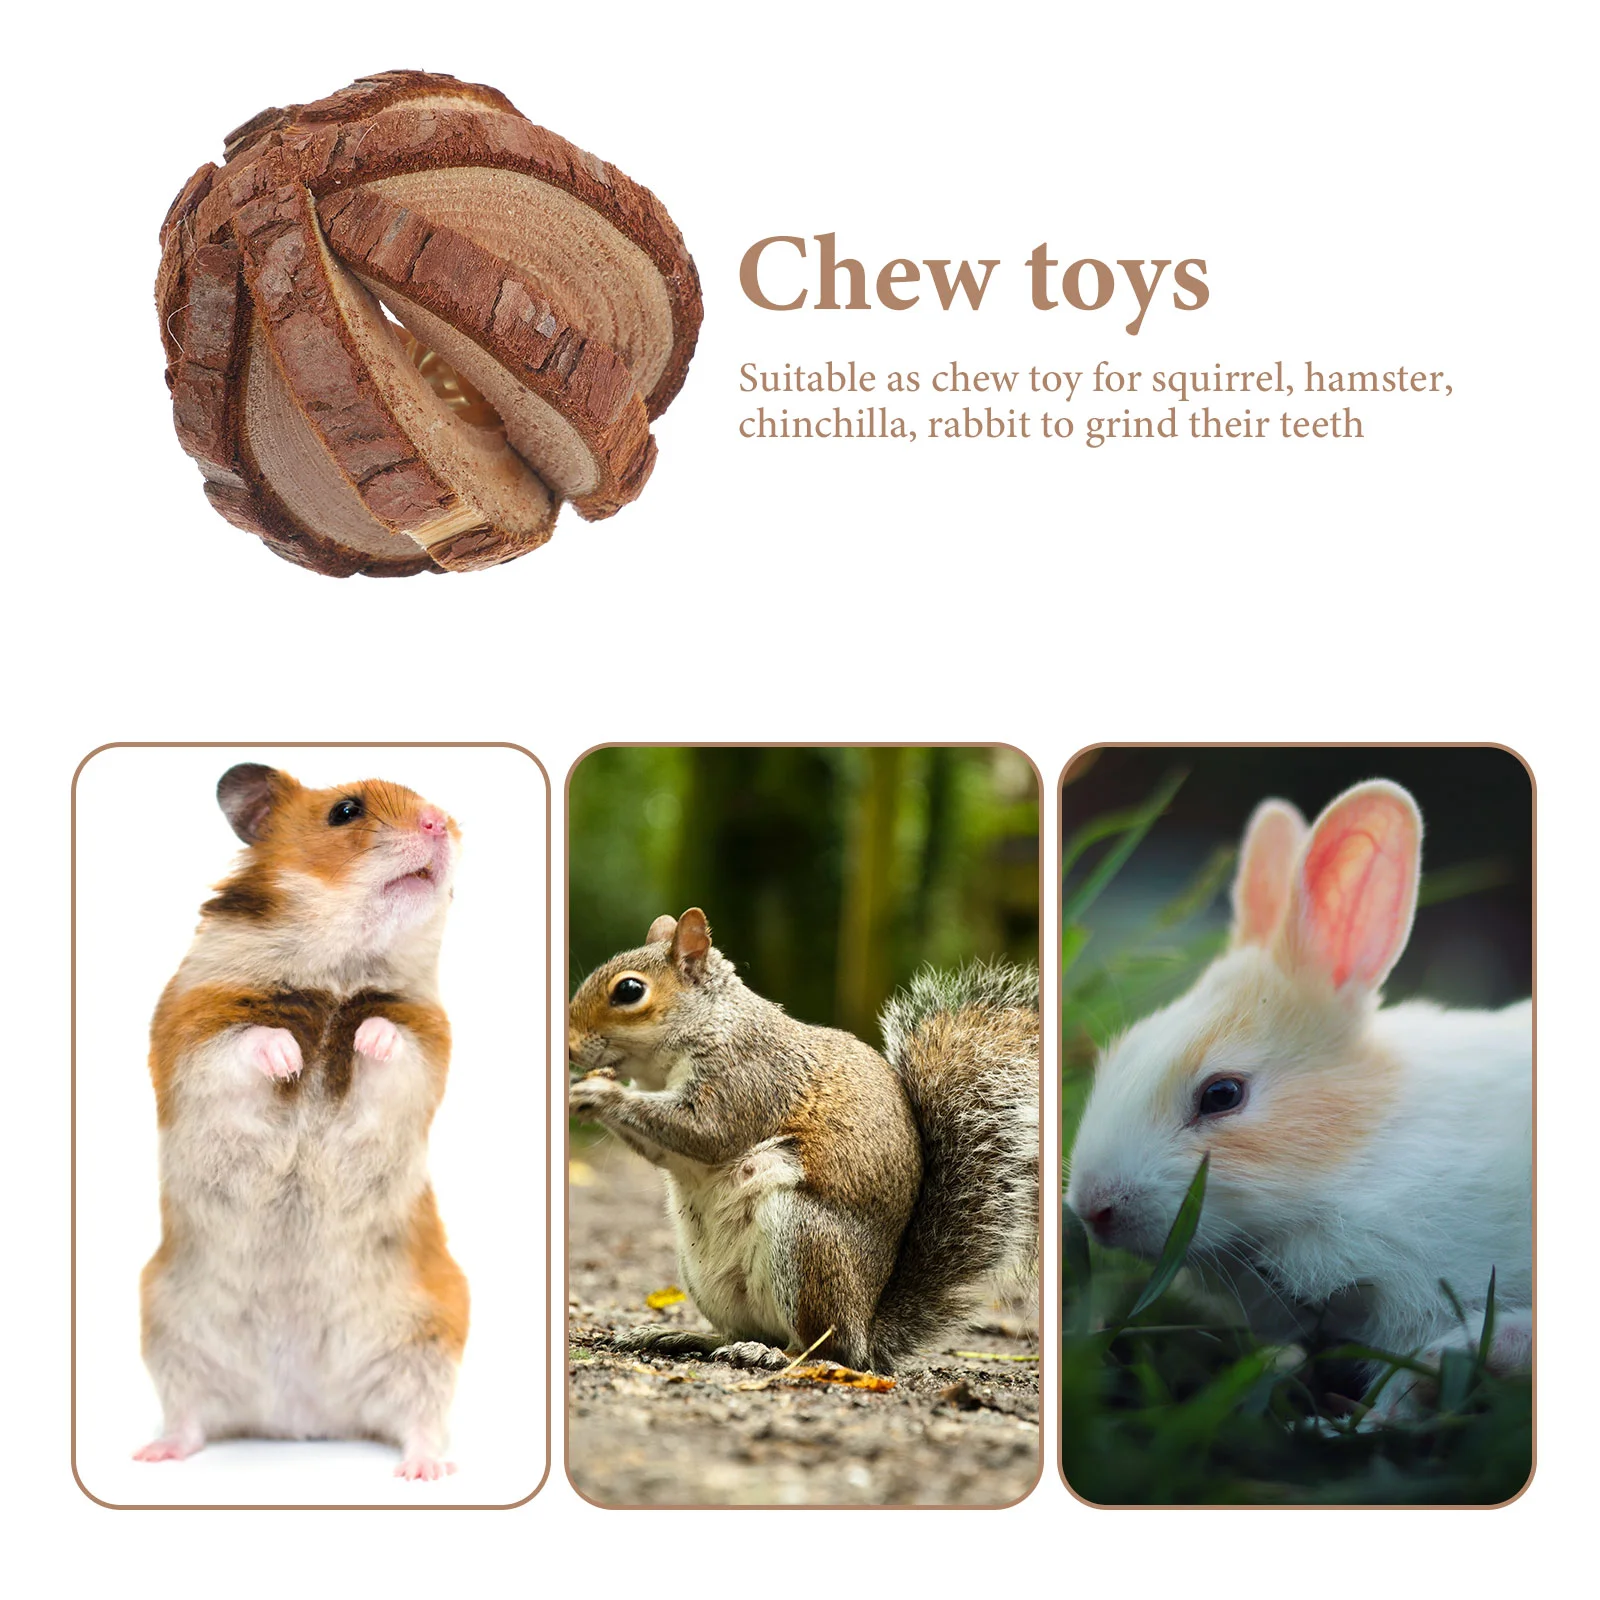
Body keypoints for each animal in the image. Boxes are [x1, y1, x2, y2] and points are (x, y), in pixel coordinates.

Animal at [135, 763, 468, 1479]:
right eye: (345, 811)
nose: (442, 823)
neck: (337, 969)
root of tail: (301, 1416)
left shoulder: (426, 1042)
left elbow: (389, 1042)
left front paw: (366, 1039)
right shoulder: (193, 1032)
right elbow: (248, 1043)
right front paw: (289, 1056)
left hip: (429, 1335)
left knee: (421, 1420)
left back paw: (424, 1470)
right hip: (168, 1331)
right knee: (190, 1416)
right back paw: (155, 1454)